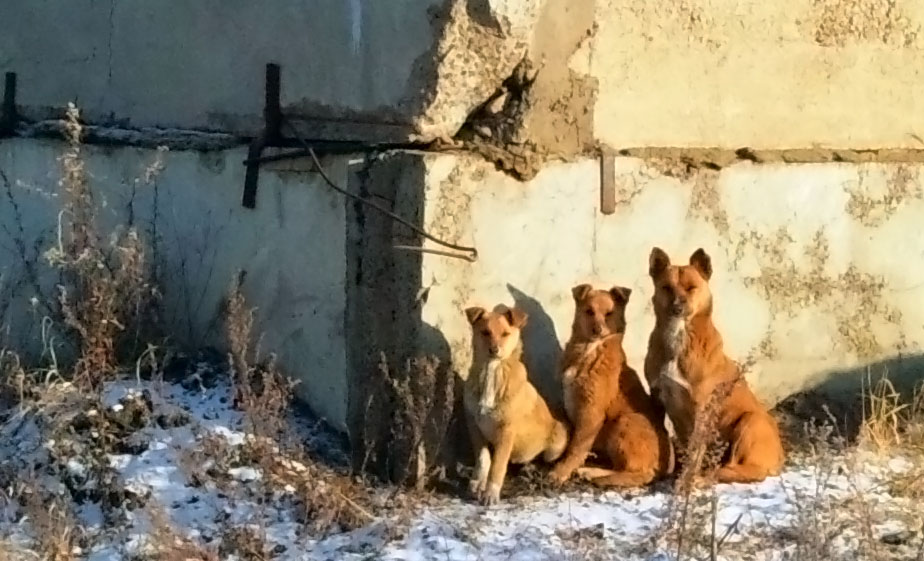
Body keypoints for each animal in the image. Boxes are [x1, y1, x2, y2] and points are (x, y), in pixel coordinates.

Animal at [462, 304, 572, 506]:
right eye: (485, 332)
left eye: (505, 334)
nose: (494, 350)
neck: (492, 372)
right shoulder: (474, 425)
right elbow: (483, 459)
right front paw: (477, 484)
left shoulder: (506, 431)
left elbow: (498, 465)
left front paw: (490, 493)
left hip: (557, 440)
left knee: (545, 459)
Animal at [548, 284, 672, 486]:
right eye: (589, 311)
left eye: (609, 313)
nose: (597, 329)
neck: (589, 351)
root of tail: (662, 469)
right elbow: (574, 442)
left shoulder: (592, 412)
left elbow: (576, 447)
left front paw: (561, 471)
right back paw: (590, 470)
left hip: (626, 420)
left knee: (633, 472)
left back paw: (596, 475)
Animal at [644, 247, 788, 484]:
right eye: (666, 287)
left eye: (691, 287)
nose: (677, 307)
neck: (680, 337)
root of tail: (780, 457)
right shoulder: (656, 395)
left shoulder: (701, 408)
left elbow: (695, 451)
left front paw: (686, 480)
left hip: (750, 421)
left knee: (741, 469)